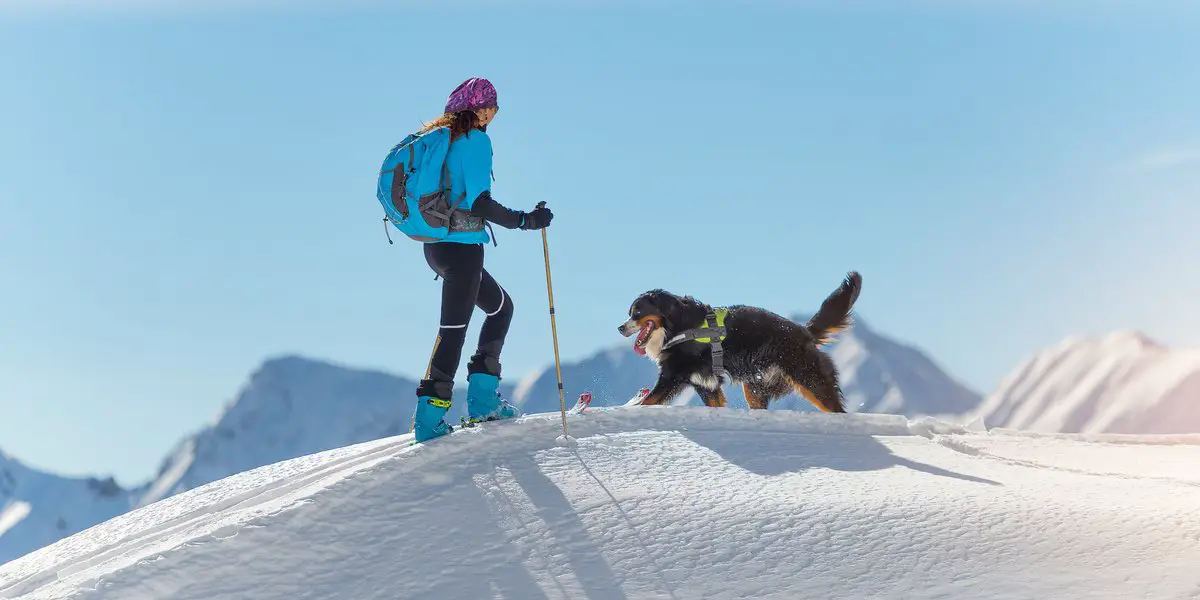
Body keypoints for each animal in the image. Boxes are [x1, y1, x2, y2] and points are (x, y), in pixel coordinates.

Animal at [619, 272, 864, 412]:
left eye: (637, 311)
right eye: (629, 312)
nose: (620, 328)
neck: (676, 326)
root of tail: (805, 331)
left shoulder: (673, 374)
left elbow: (648, 401)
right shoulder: (704, 383)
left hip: (810, 379)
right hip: (755, 387)